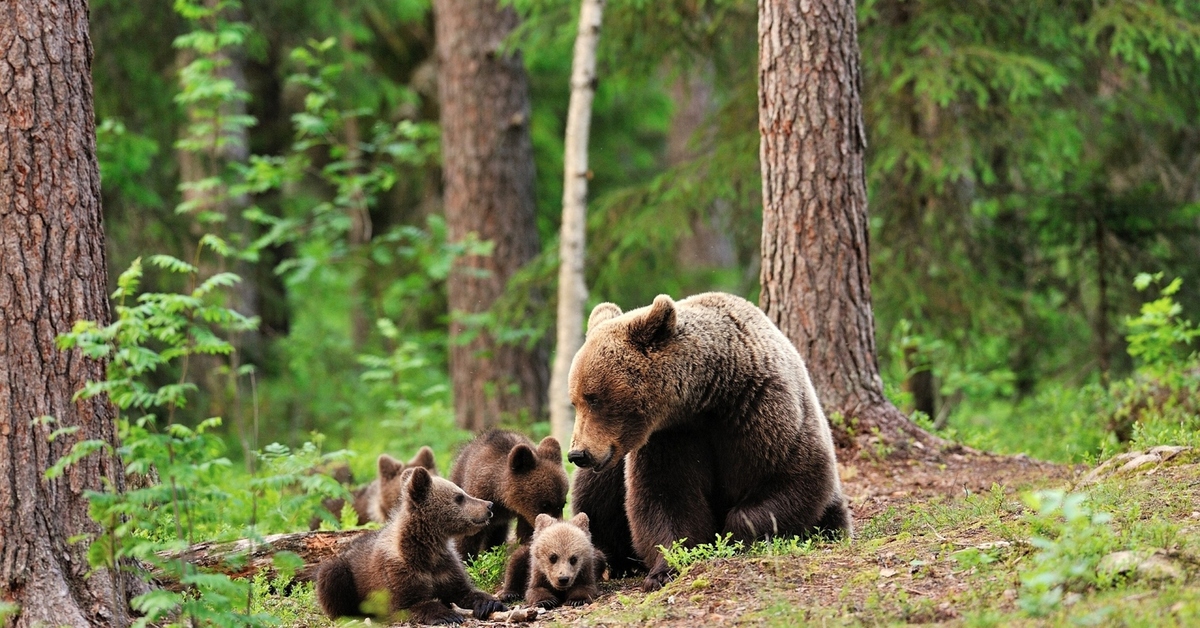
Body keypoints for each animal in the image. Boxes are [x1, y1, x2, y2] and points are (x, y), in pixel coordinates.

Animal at [566, 292, 849, 593]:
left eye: (594, 398)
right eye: (576, 401)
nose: (578, 454)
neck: (708, 398)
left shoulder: (763, 411)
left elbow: (791, 477)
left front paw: (734, 537)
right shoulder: (670, 438)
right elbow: (666, 496)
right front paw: (665, 569)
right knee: (595, 496)